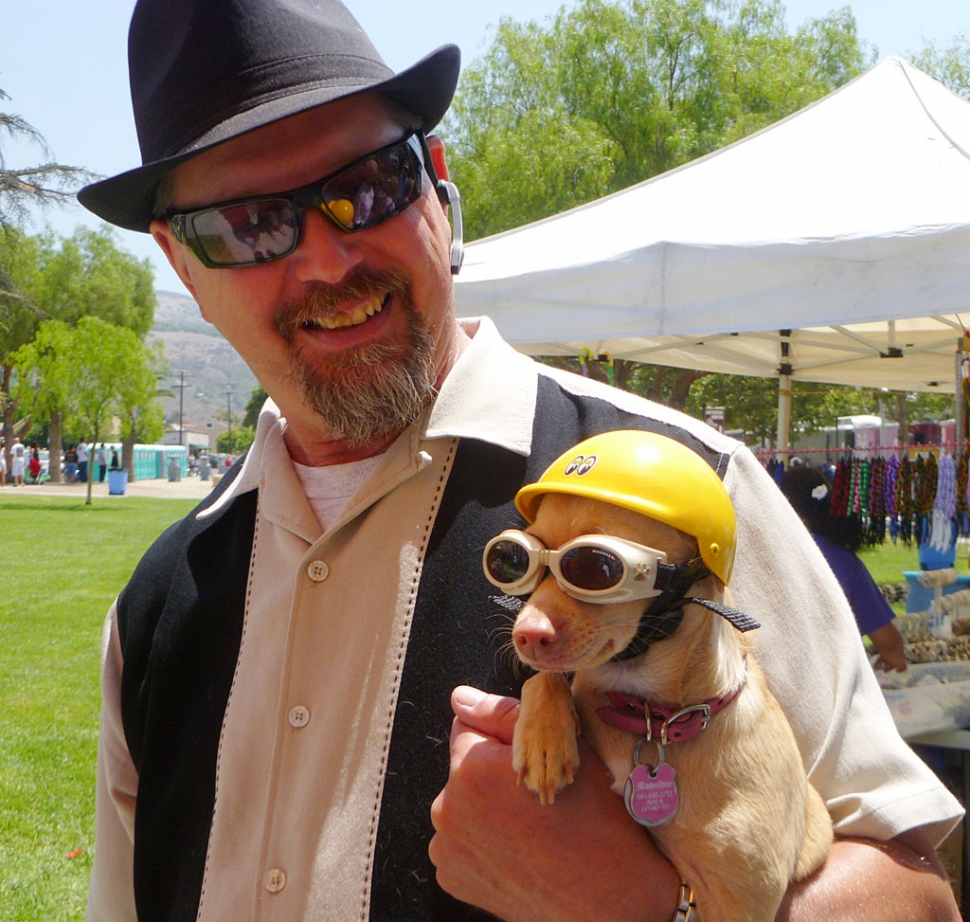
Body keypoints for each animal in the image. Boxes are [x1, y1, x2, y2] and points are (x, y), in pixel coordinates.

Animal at [484, 432, 832, 920]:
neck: (653, 716)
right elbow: (546, 678)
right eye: (514, 558)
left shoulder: (741, 900)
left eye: (597, 567)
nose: (526, 634)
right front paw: (545, 742)